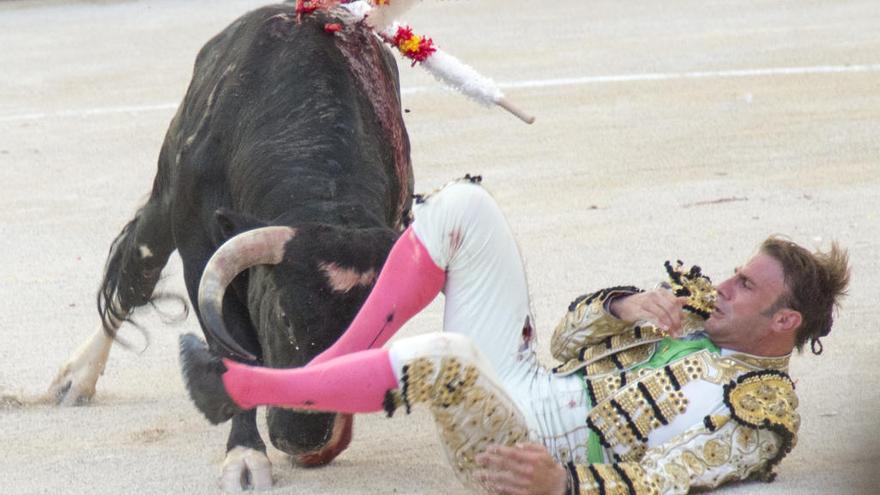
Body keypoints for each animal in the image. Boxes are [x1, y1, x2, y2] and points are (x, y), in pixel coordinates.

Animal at [50, 3, 412, 492]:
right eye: (284, 316)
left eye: (376, 331)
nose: (301, 439)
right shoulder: (200, 250)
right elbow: (231, 350)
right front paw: (244, 457)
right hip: (165, 197)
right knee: (136, 272)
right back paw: (76, 380)